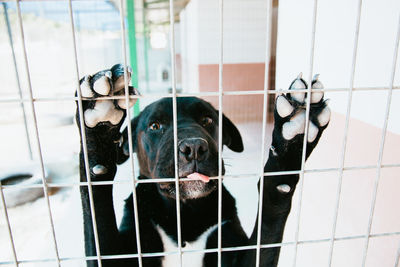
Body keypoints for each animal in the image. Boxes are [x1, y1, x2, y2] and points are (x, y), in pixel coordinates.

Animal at [76, 63, 332, 266]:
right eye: (155, 126)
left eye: (207, 120)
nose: (193, 148)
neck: (186, 214)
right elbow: (96, 210)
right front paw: (97, 130)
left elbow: (270, 222)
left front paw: (292, 143)